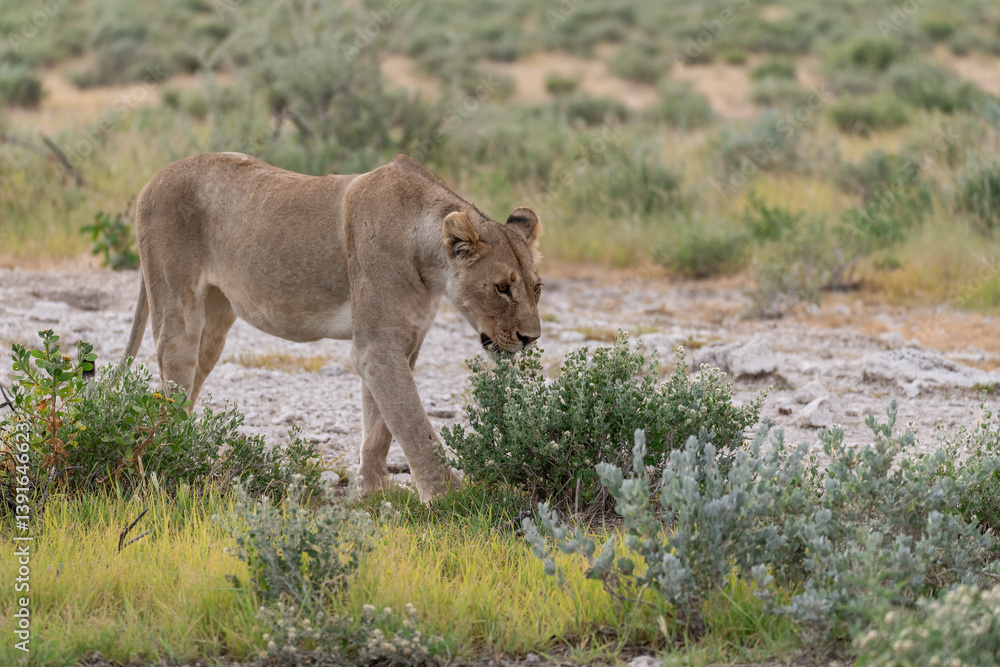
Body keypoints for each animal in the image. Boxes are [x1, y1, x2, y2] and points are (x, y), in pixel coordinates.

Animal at [122, 152, 543, 502]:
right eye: (502, 288)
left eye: (536, 287)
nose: (531, 338)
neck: (430, 262)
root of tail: (155, 176)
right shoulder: (378, 348)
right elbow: (415, 425)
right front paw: (450, 498)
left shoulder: (402, 343)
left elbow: (380, 426)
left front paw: (374, 493)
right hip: (177, 309)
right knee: (172, 385)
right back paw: (175, 458)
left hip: (215, 323)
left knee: (191, 384)